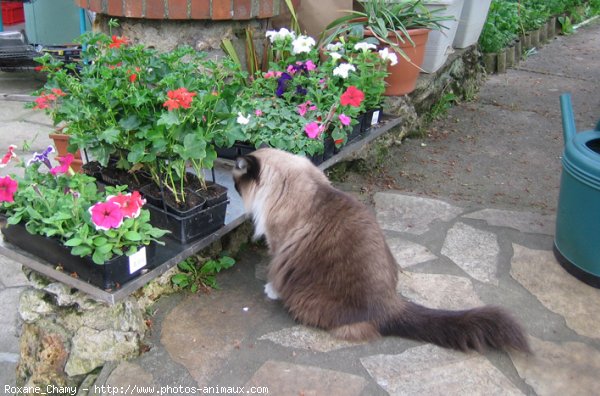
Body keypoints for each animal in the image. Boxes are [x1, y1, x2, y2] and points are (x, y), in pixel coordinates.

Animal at [232, 148, 532, 352]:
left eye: (236, 182)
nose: (233, 189)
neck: (287, 178)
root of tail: (390, 304)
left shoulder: (278, 244)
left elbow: (274, 274)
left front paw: (270, 290)